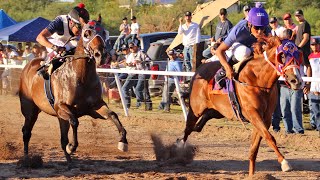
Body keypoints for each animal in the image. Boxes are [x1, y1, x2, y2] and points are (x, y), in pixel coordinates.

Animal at [18, 21, 127, 165]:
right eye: (86, 33)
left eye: (104, 32)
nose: (101, 55)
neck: (81, 77)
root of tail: (29, 65)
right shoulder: (61, 107)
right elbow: (75, 121)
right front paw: (72, 147)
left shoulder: (94, 107)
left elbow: (113, 115)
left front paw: (123, 142)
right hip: (30, 109)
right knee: (26, 131)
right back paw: (26, 158)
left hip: (57, 116)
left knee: (62, 138)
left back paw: (68, 160)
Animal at [180, 35, 302, 175]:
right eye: (282, 55)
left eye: (298, 55)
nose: (296, 81)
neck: (259, 81)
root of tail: (199, 69)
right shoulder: (253, 113)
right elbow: (269, 137)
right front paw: (284, 163)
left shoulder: (265, 118)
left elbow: (255, 147)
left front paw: (252, 174)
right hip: (196, 109)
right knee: (188, 128)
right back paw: (179, 147)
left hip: (219, 111)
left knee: (201, 122)